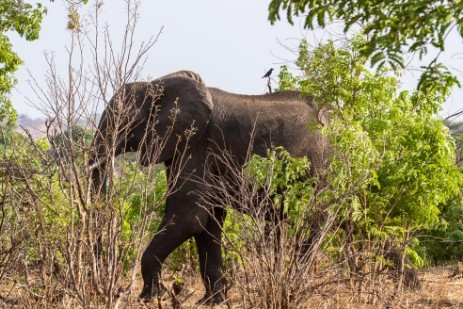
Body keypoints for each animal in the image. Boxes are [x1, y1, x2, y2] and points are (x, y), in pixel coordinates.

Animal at [89, 70, 332, 304]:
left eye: (124, 120)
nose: (112, 291)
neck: (160, 83)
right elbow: (207, 223)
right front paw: (211, 301)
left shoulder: (196, 146)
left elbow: (188, 218)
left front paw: (150, 298)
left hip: (318, 169)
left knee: (312, 222)